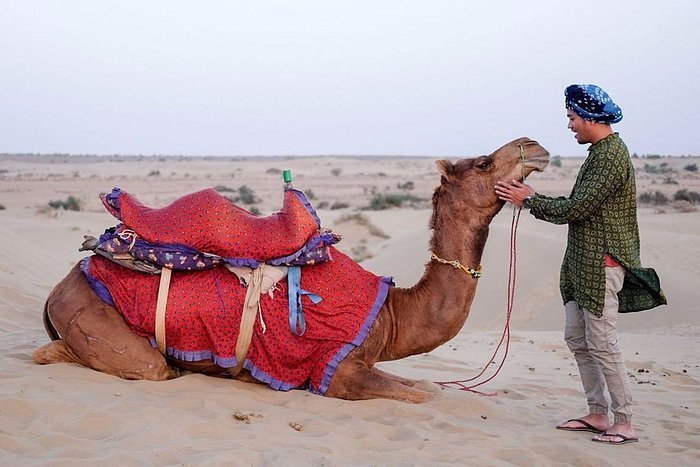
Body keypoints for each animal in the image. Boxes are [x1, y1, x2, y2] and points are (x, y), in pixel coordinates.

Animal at [32, 137, 548, 404]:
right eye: (483, 162)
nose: (535, 145)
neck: (394, 312)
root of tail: (59, 287)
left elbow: (423, 386)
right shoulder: (336, 371)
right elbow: (424, 396)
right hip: (107, 327)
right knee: (126, 363)